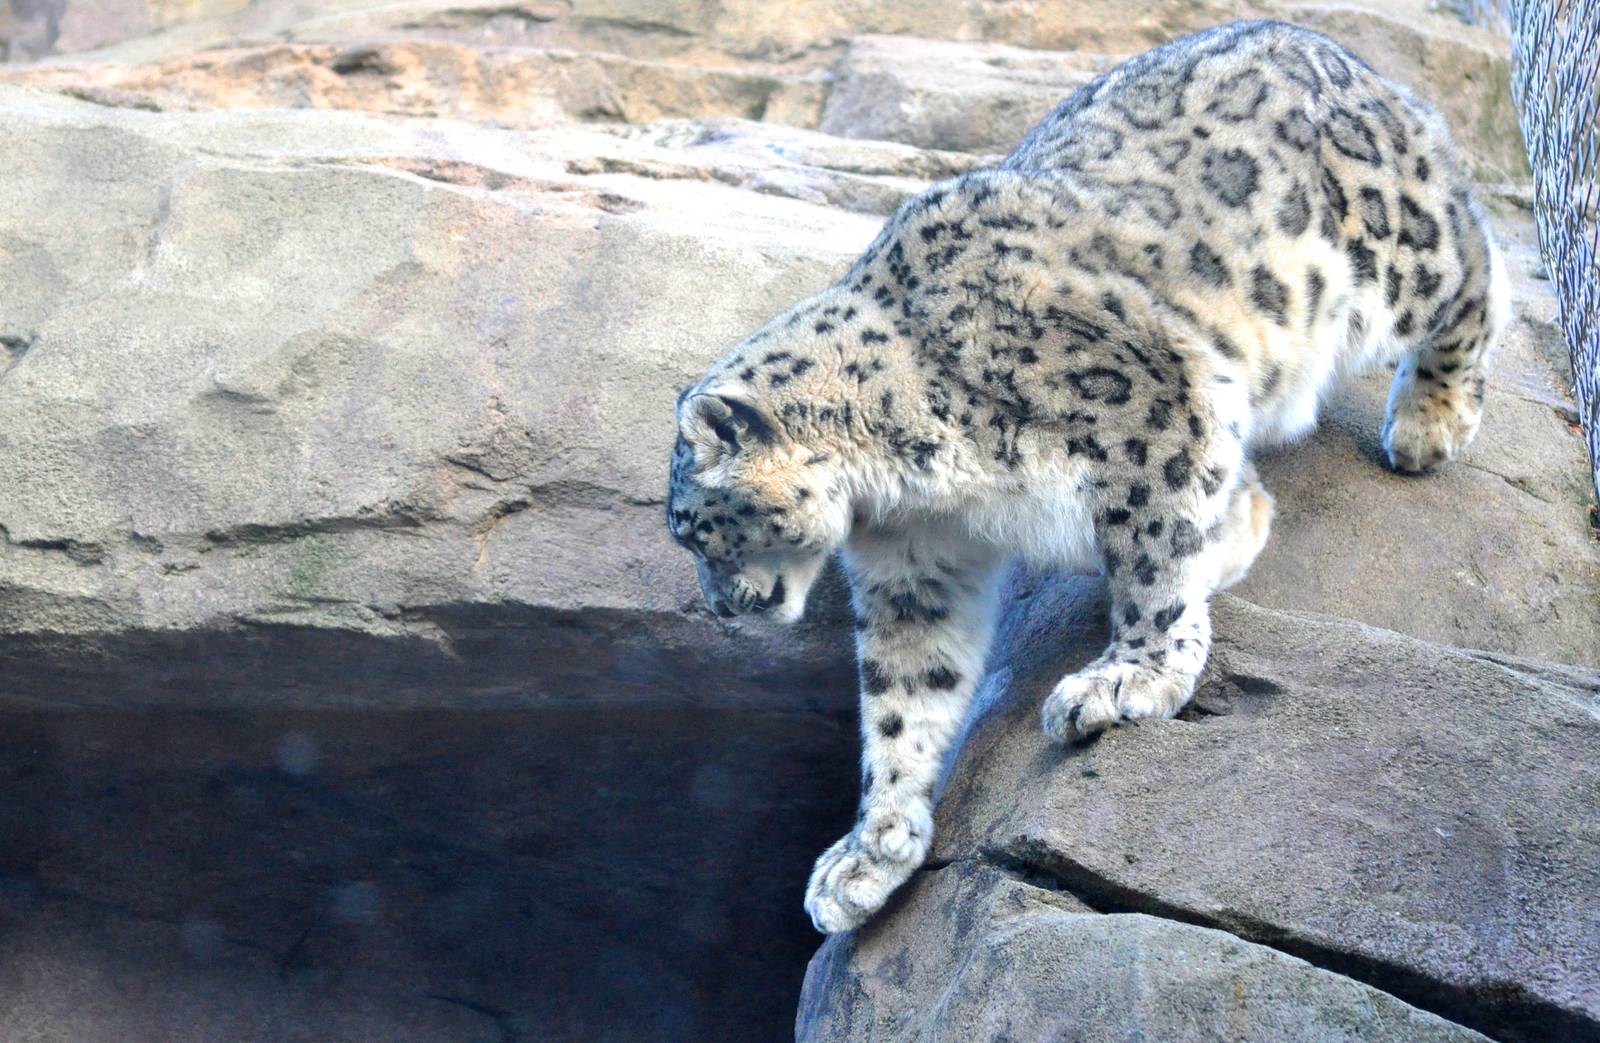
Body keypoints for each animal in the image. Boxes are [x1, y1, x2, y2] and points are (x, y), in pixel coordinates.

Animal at [665, 19, 1510, 934]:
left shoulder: (1154, 409)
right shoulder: (915, 565)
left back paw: (1430, 418)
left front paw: (1131, 674)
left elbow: (1155, 557)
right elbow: (904, 692)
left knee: (1472, 257)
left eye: (698, 531)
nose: (719, 606)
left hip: (1393, 257)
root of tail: (1342, 53)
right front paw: (872, 847)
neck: (909, 482)